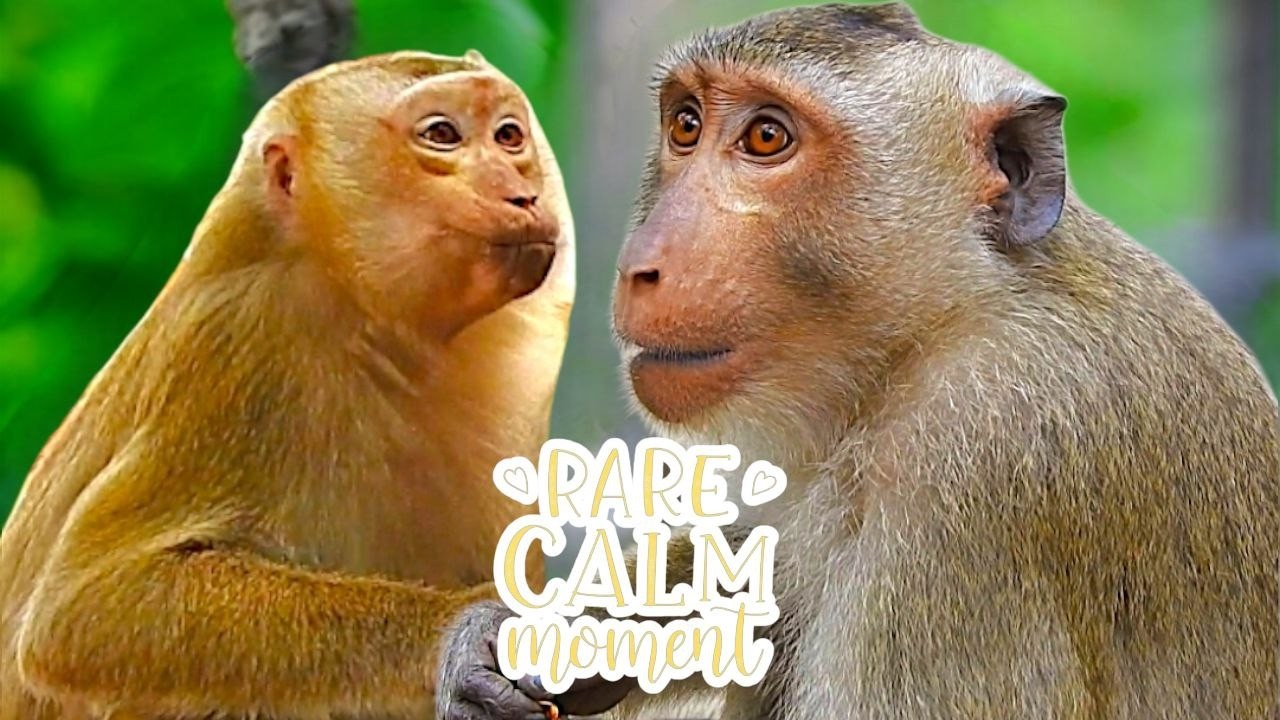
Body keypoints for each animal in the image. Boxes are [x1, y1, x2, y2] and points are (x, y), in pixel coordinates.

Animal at [0, 49, 575, 720]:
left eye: (509, 136)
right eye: (442, 134)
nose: (523, 193)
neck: (366, 321)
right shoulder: (236, 339)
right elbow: (82, 611)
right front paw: (462, 632)